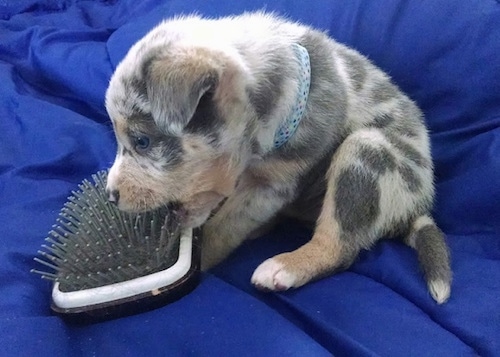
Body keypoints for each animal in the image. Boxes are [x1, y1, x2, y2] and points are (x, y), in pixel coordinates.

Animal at [105, 13, 454, 304]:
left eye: (142, 141)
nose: (111, 196)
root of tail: (418, 206)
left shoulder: (271, 185)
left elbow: (221, 229)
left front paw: (195, 265)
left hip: (368, 150)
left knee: (339, 246)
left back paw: (285, 267)